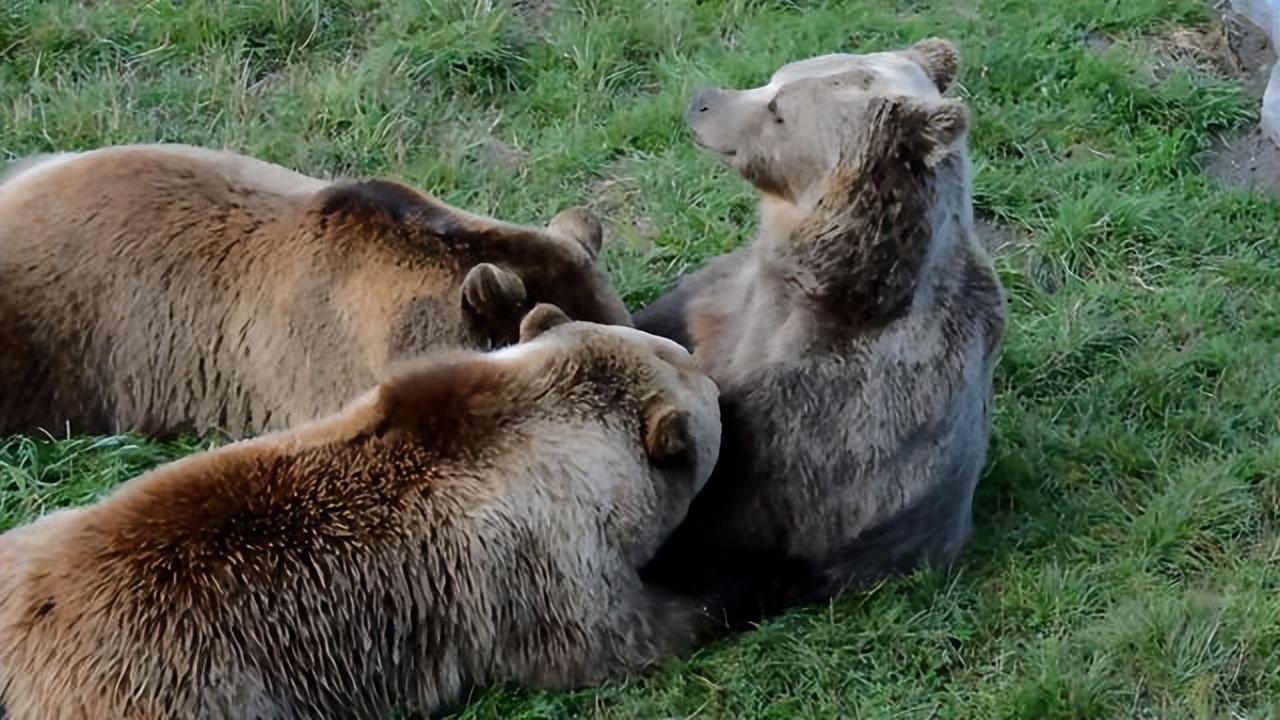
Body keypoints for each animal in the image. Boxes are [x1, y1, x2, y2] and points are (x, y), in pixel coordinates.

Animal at [0, 303, 721, 717]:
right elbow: (613, 638)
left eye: (679, 352)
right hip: (179, 689)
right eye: (701, 377)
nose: (712, 373)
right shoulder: (540, 563)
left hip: (27, 543)